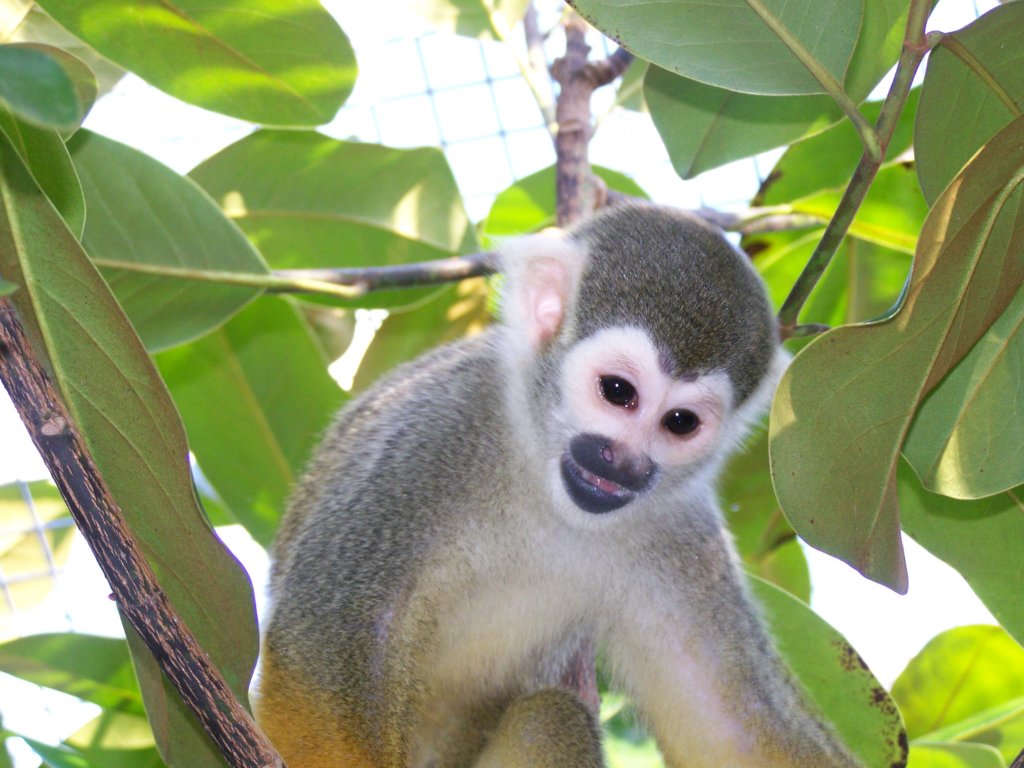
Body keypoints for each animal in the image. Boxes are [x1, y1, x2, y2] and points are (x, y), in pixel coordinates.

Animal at [254, 203, 862, 768]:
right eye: (618, 392)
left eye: (680, 422)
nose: (623, 465)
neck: (538, 476)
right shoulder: (427, 435)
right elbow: (324, 657)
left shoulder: (683, 534)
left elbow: (735, 727)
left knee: (549, 716)